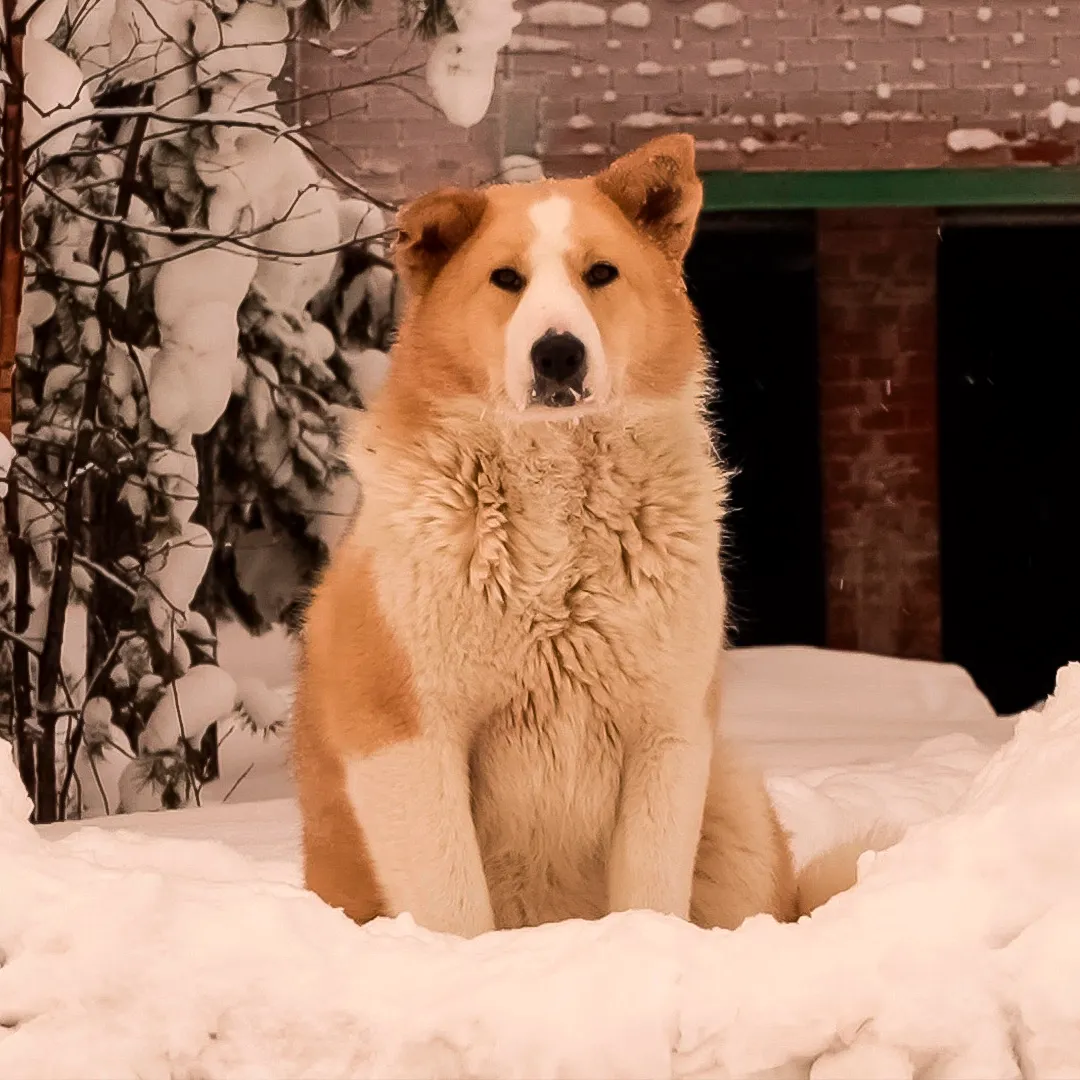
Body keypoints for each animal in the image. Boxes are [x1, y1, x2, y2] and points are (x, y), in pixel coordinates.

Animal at [293, 135, 876, 933]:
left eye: (601, 273)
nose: (558, 353)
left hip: (732, 805)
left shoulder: (664, 732)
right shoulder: (406, 735)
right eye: (505, 279)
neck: (554, 500)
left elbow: (649, 894)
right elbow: (455, 906)